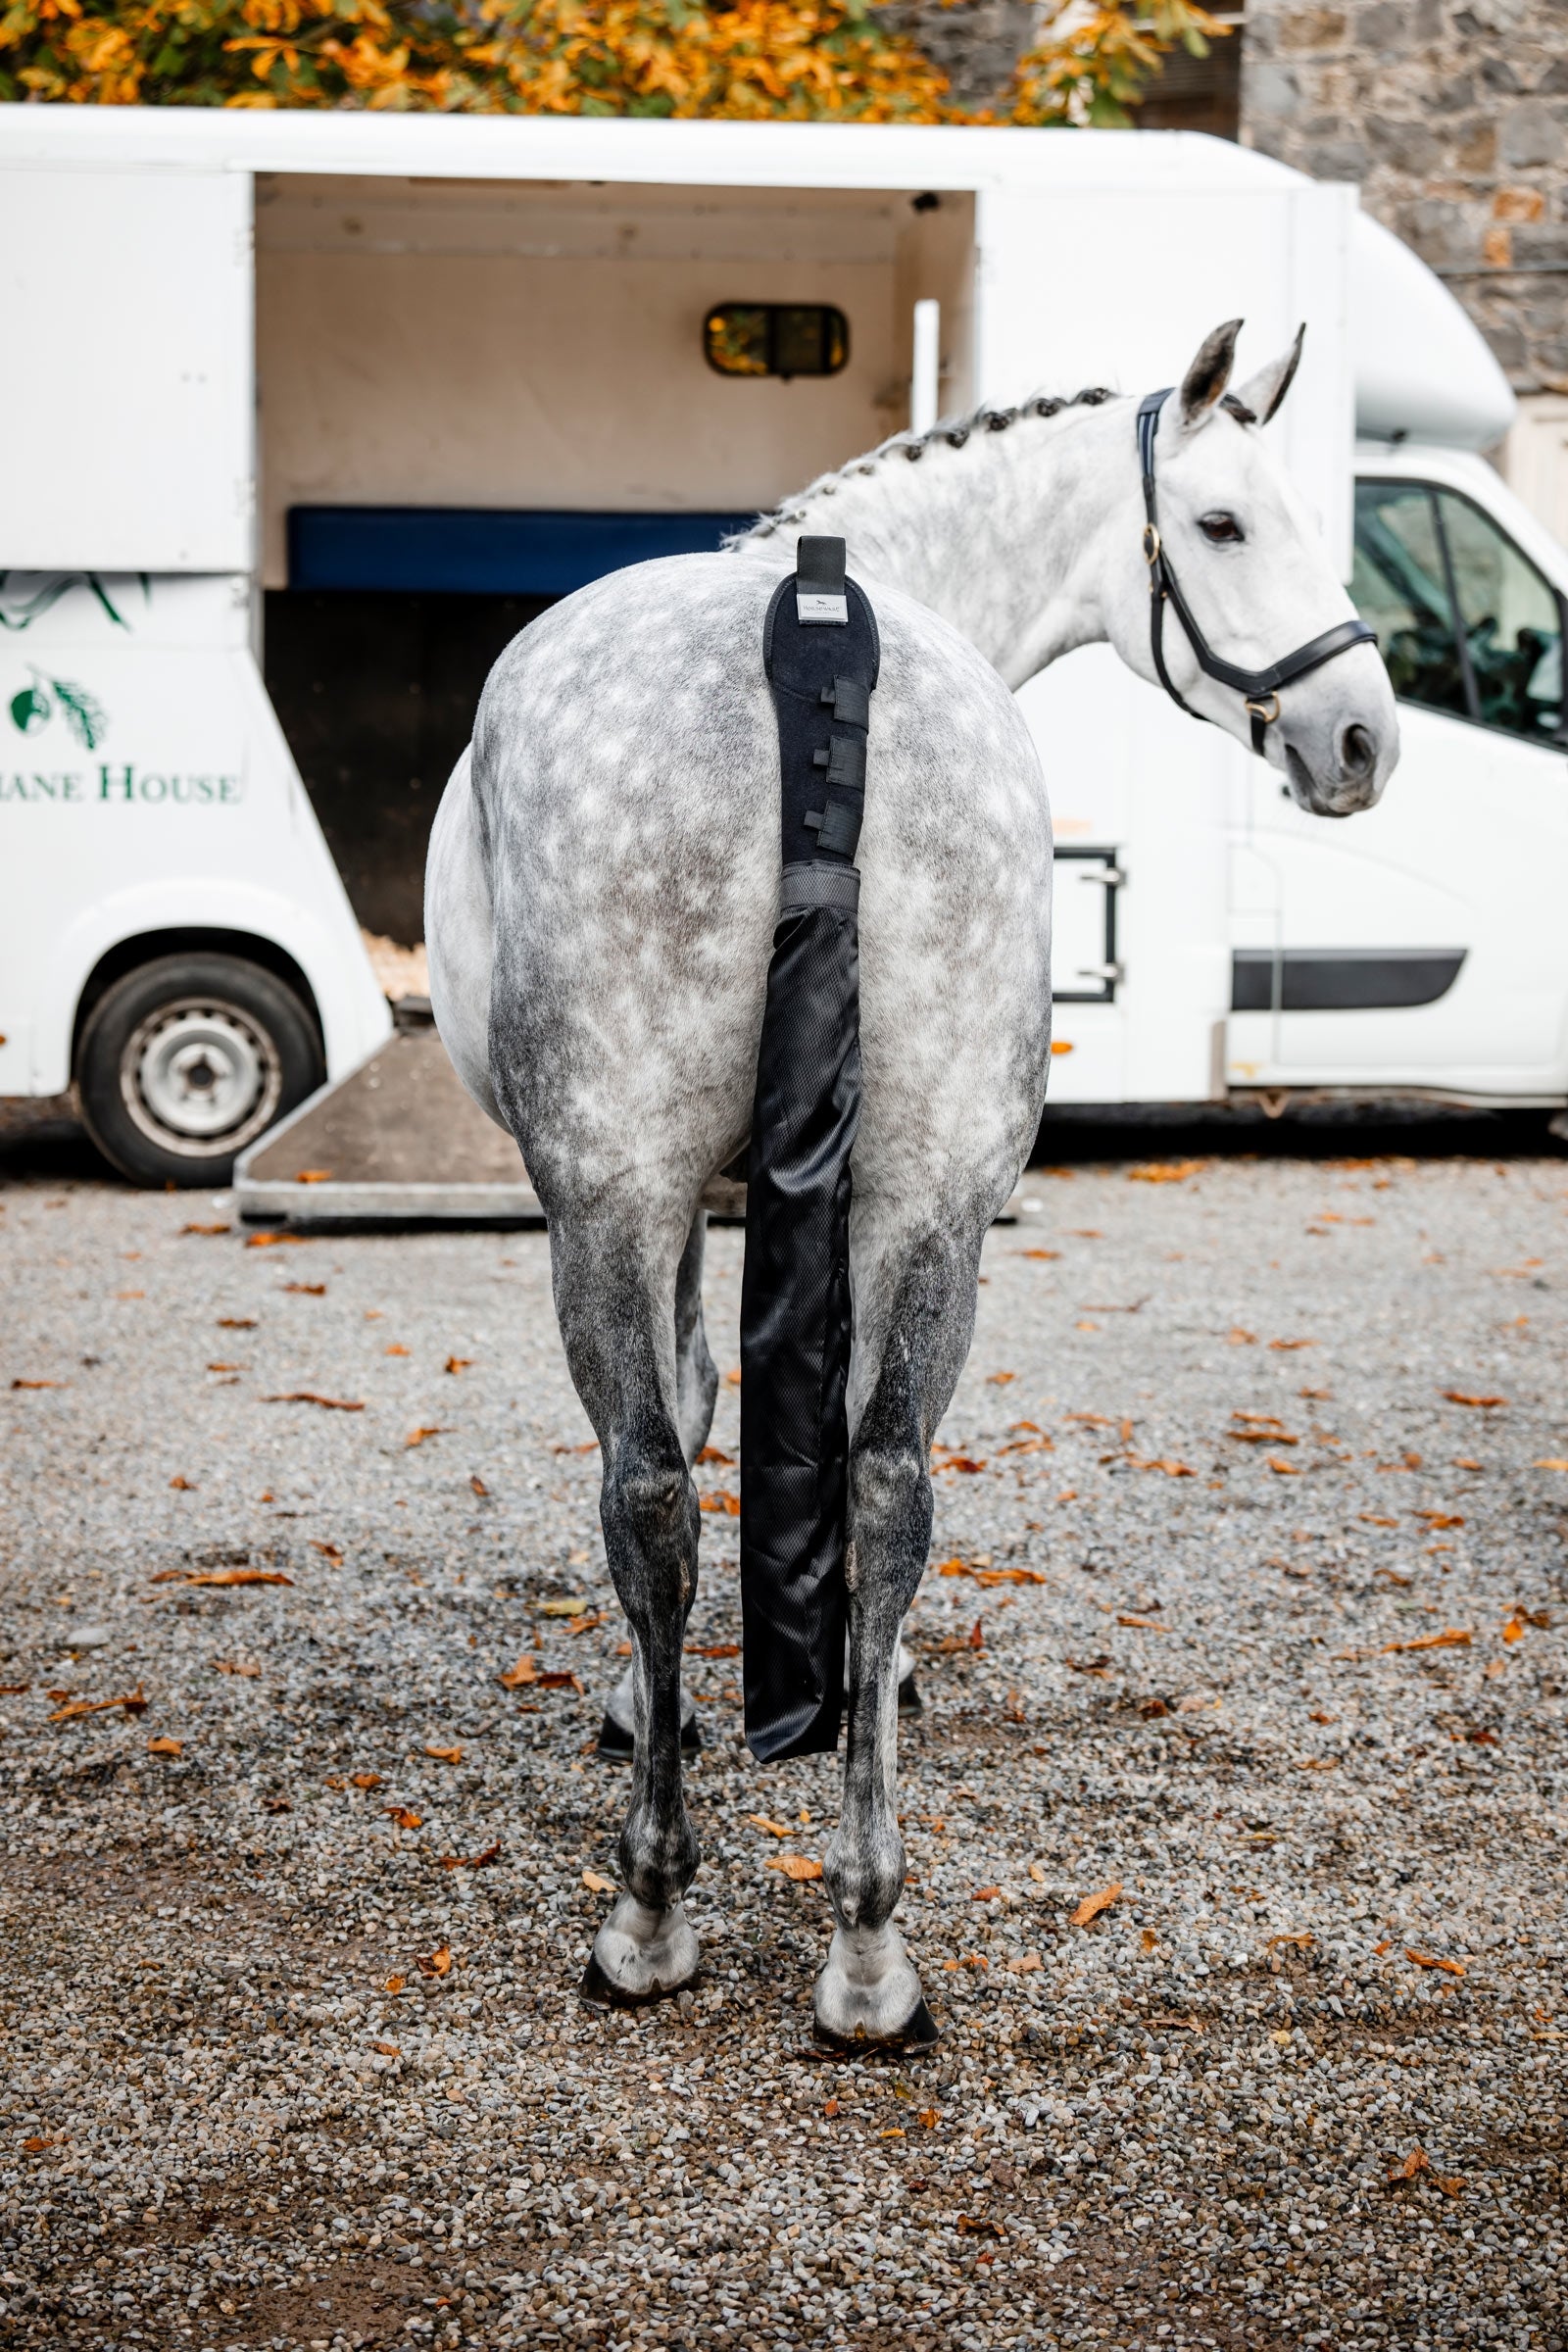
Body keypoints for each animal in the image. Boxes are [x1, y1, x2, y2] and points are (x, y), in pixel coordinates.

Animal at [425, 319, 1399, 2045]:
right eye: (1226, 525)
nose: (1361, 736)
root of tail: (813, 650)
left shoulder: (663, 1205)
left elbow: (684, 1417)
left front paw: (649, 1702)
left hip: (617, 1196)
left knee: (652, 1492)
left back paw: (652, 1912)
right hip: (929, 1200)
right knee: (886, 1490)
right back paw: (871, 1947)